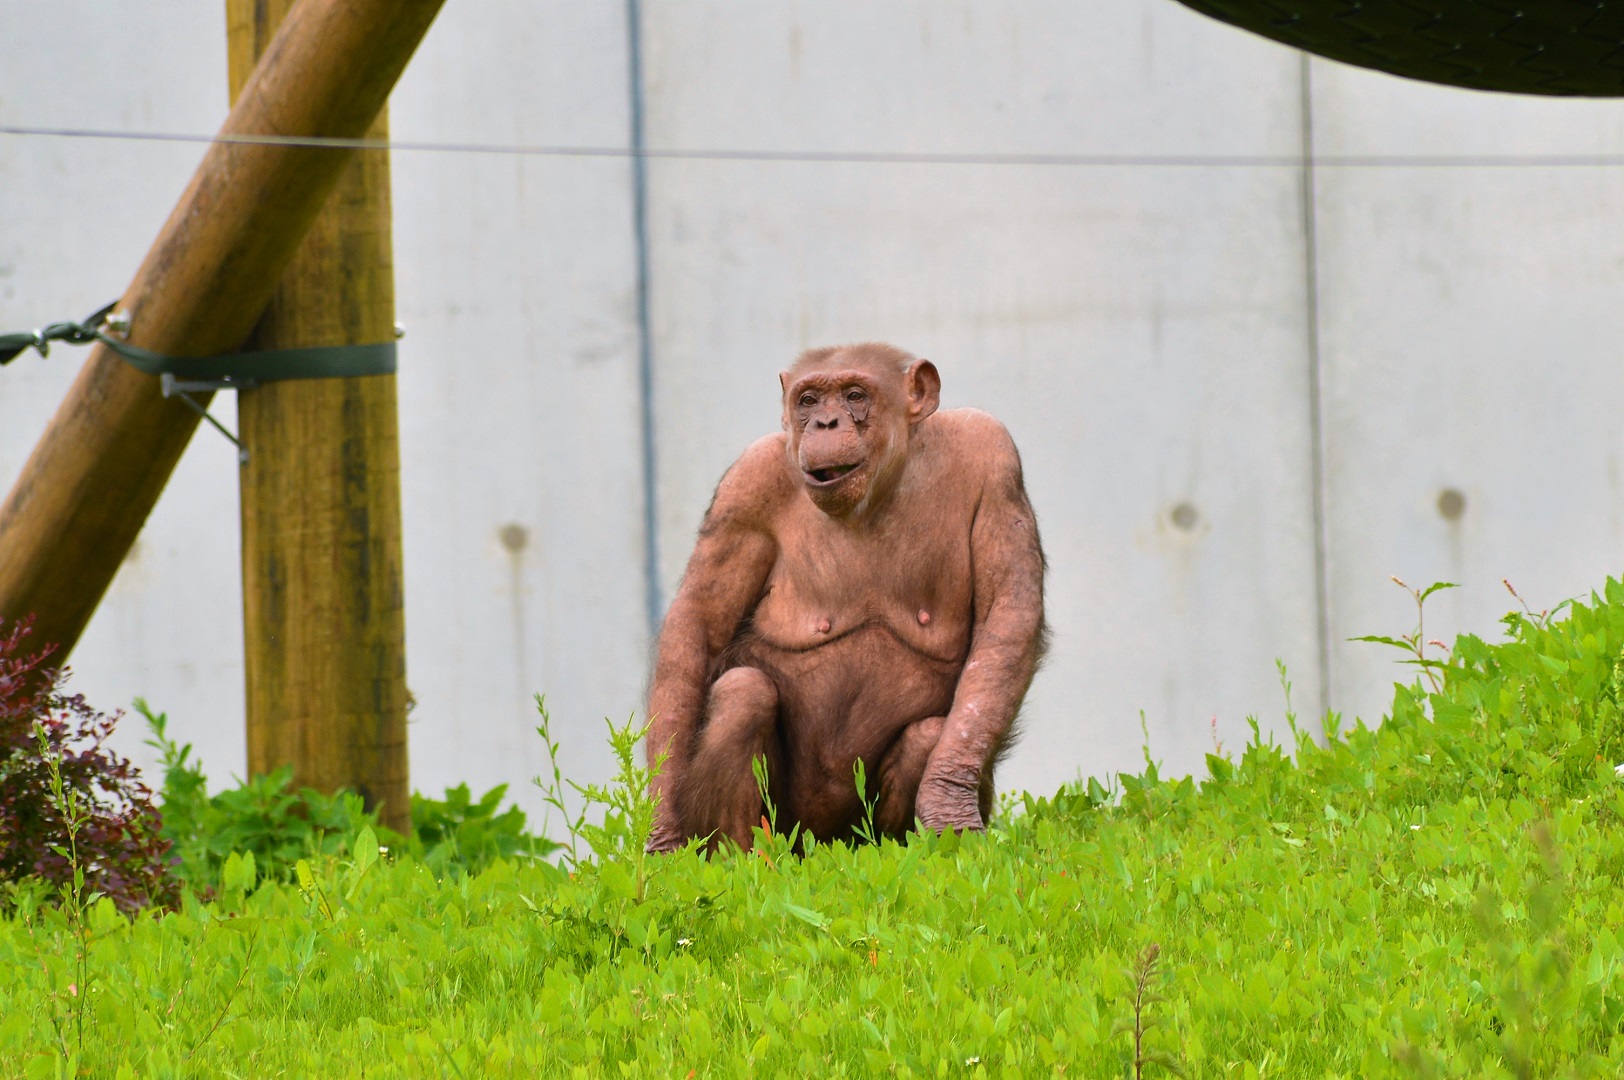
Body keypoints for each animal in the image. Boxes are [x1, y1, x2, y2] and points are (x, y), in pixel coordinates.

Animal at [645, 342, 1047, 851]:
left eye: (855, 395)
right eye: (809, 400)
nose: (825, 423)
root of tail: (822, 844)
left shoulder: (992, 452)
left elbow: (1007, 611)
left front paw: (948, 808)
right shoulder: (745, 488)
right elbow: (699, 625)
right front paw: (663, 830)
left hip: (859, 834)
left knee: (929, 735)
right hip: (791, 829)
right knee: (742, 695)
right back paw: (745, 859)